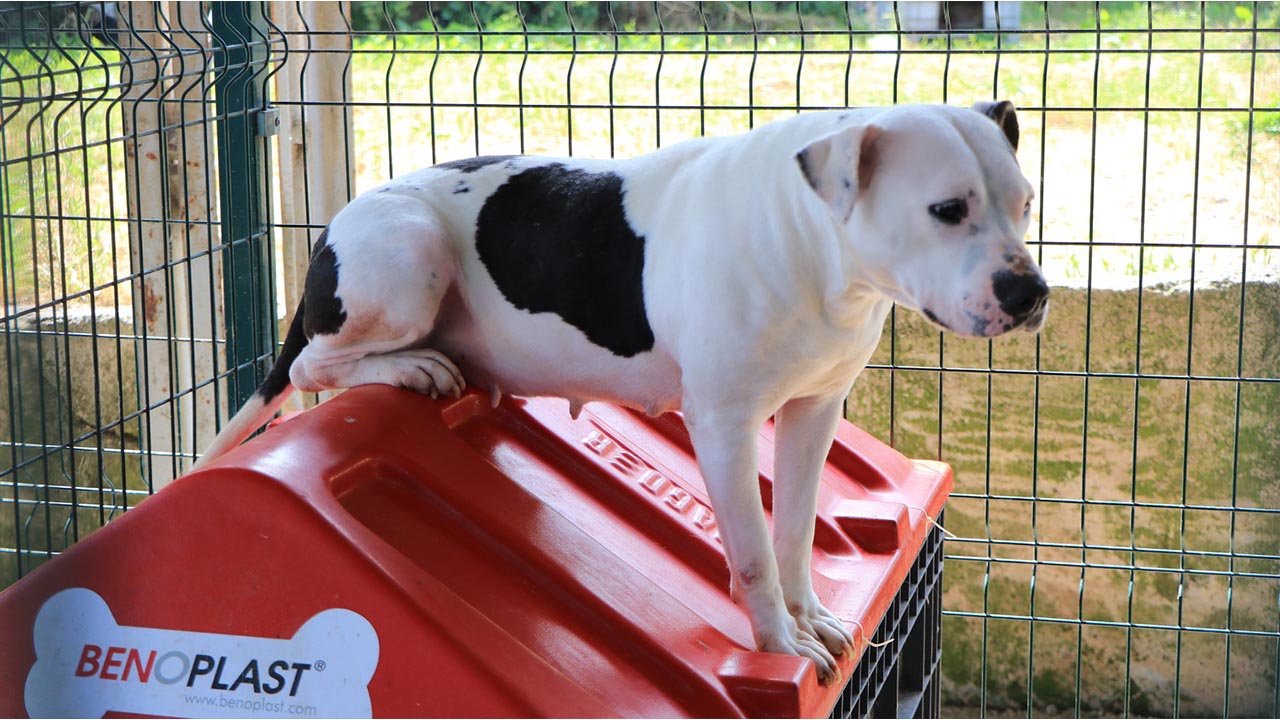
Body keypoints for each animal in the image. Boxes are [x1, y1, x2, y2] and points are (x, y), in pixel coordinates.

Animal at [194, 99, 1044, 676]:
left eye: (1025, 201)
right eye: (946, 209)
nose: (1031, 291)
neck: (817, 245)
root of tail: (328, 235)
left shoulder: (812, 412)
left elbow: (797, 532)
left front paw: (810, 618)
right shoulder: (726, 425)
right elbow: (753, 552)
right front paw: (776, 644)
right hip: (409, 249)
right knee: (314, 365)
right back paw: (410, 365)